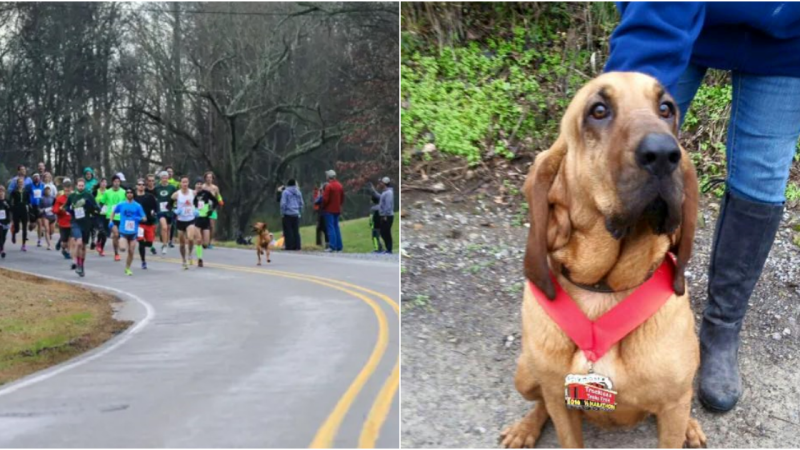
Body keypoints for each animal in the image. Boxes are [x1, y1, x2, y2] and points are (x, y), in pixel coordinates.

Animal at [500, 72, 708, 448]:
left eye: (666, 109)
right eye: (598, 110)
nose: (664, 154)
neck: (604, 289)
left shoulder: (672, 403)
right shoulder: (561, 401)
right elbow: (560, 421)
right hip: (524, 374)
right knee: (540, 402)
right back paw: (525, 427)